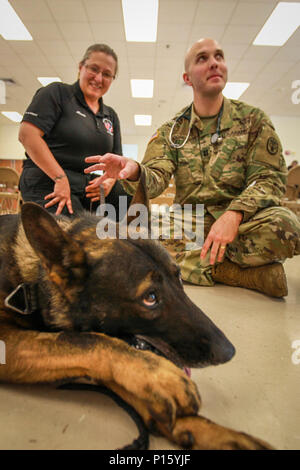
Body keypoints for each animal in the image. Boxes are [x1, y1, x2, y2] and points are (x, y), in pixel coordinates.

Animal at [0, 178, 272, 450]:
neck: (33, 285)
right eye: (150, 298)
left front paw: (202, 429)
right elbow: (86, 340)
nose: (229, 352)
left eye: (179, 277)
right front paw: (161, 376)